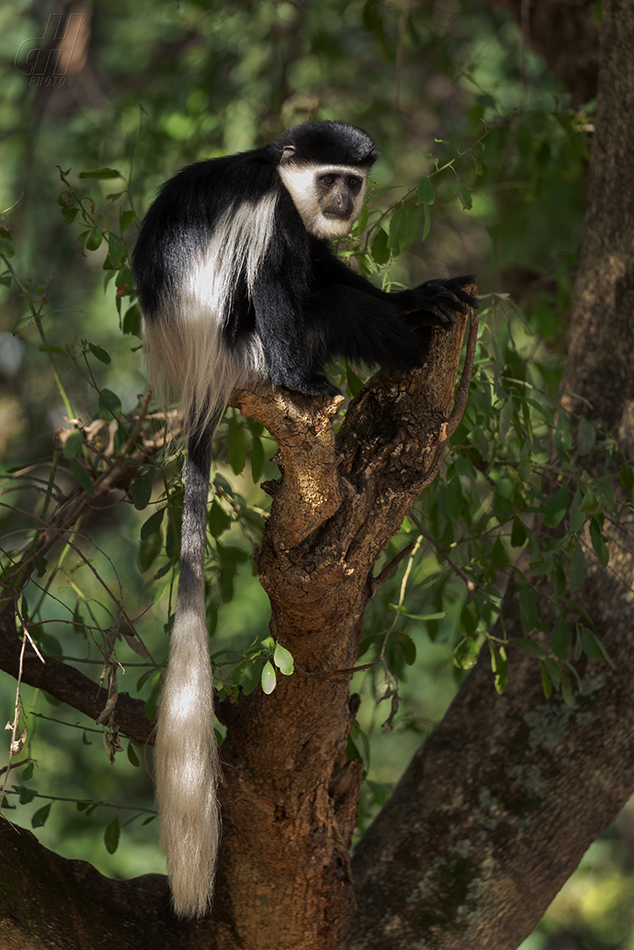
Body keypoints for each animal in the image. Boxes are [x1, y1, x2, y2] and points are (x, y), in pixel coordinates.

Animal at [131, 119, 476, 916]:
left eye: (354, 181)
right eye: (331, 179)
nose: (346, 201)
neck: (279, 173)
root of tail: (202, 381)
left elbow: (328, 261)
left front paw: (424, 291)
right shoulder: (273, 212)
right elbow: (283, 275)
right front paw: (317, 369)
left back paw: (421, 314)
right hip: (243, 346)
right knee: (302, 296)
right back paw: (344, 363)